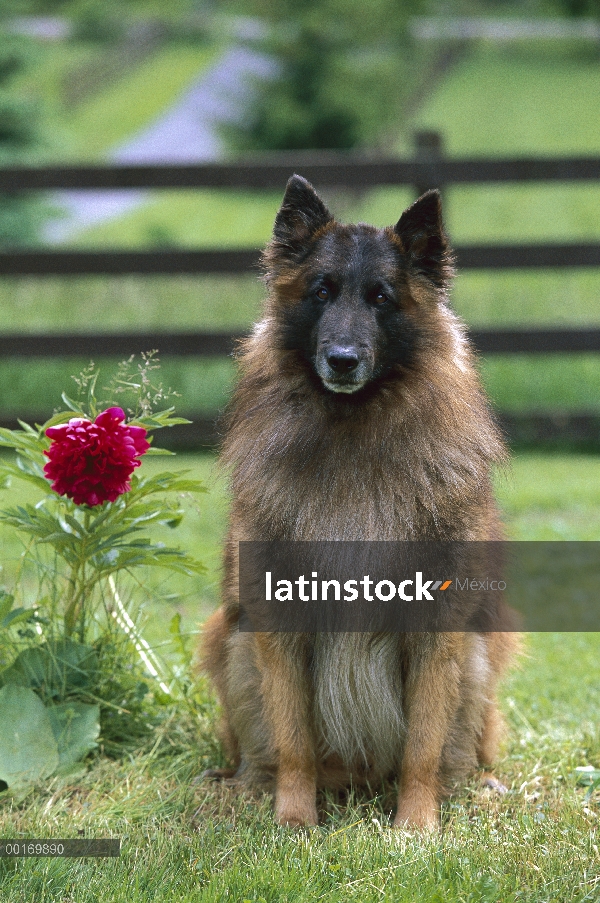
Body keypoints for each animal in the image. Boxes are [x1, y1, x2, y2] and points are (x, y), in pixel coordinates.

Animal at [200, 173, 516, 828]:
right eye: (321, 292)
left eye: (381, 298)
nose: (342, 361)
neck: (353, 434)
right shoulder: (279, 621)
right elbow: (294, 740)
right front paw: (294, 823)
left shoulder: (437, 626)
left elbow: (422, 745)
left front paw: (415, 827)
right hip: (231, 640)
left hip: (478, 652)